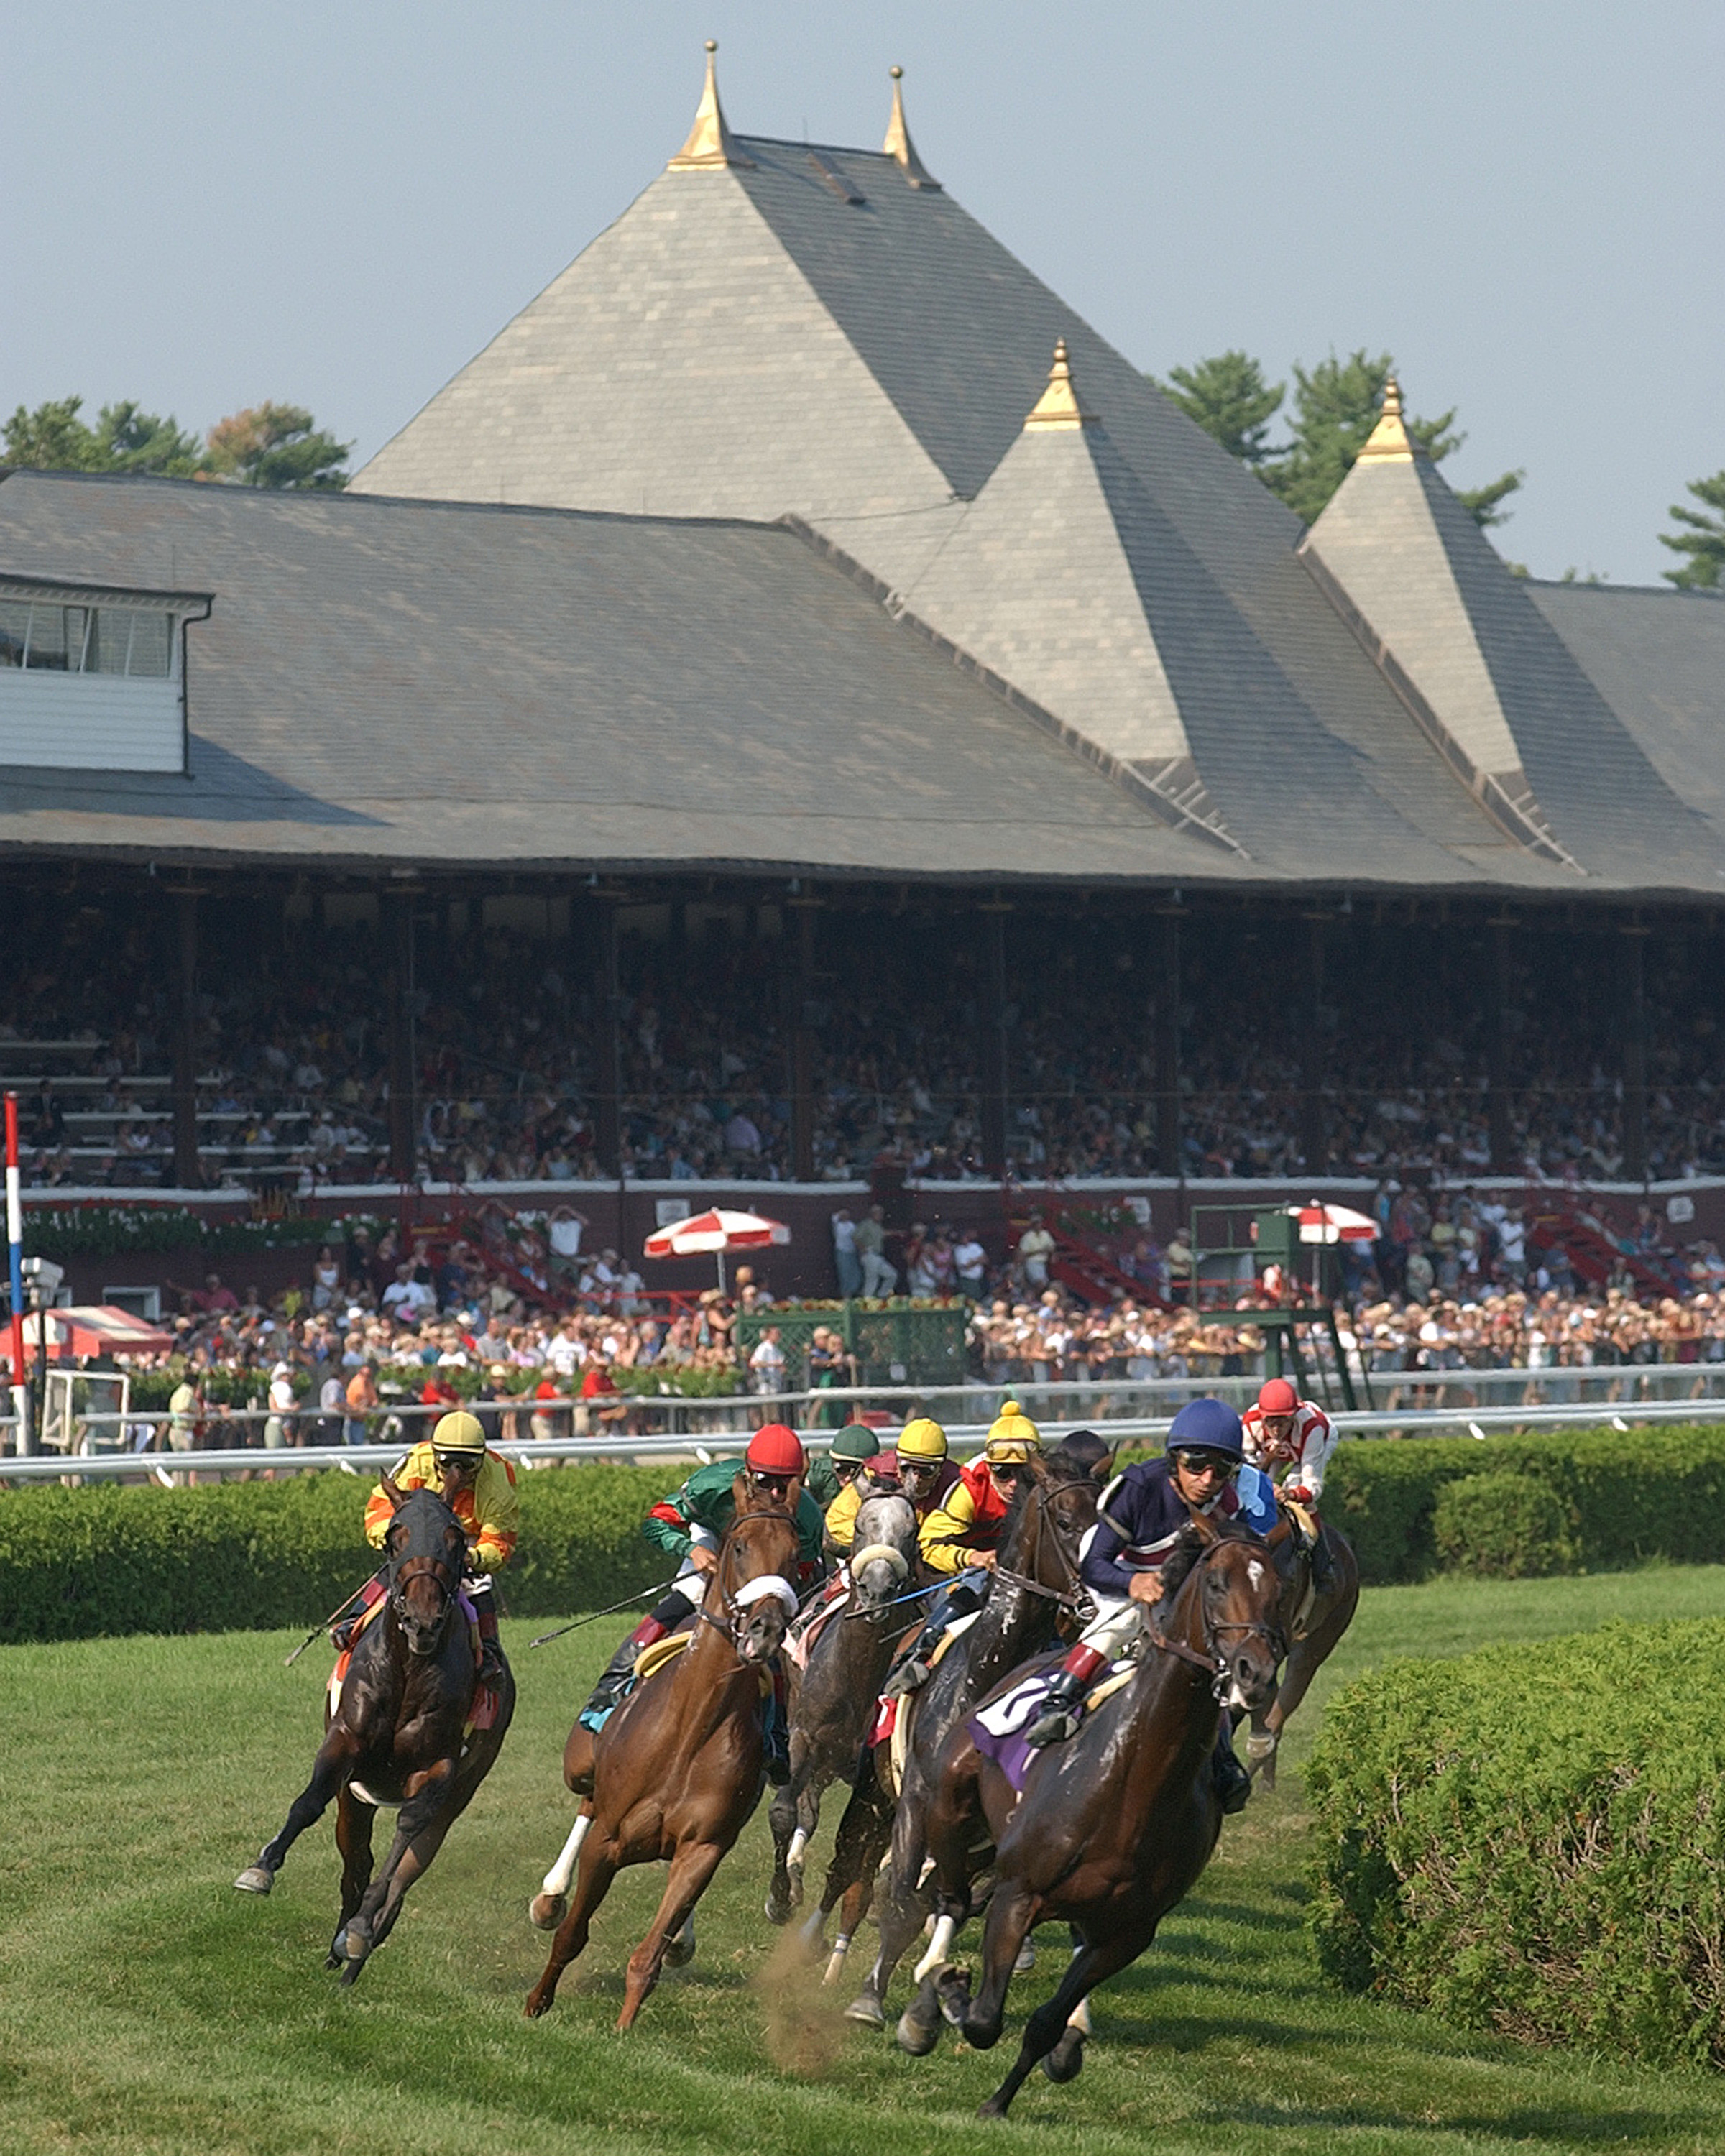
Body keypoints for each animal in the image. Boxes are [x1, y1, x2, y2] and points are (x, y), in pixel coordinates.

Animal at [233, 1483, 513, 1984]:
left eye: (455, 1540)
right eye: (395, 1538)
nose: (423, 1621)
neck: (408, 1668)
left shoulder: (437, 1770)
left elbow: (404, 1838)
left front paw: (361, 1930)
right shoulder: (344, 1742)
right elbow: (310, 1801)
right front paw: (261, 1868)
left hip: (458, 1796)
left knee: (402, 1876)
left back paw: (355, 1954)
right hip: (357, 1799)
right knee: (355, 1865)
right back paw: (338, 1951)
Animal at [526, 1483, 802, 2035]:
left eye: (794, 1554)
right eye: (739, 1547)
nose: (765, 1629)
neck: (691, 1729)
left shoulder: (704, 1847)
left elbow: (649, 1954)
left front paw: (623, 2030)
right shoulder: (608, 1841)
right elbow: (572, 1933)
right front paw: (537, 2002)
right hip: (581, 1765)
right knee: (586, 1801)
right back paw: (549, 1897)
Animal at [768, 1492, 923, 1932]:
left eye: (911, 1530)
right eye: (859, 1525)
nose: (877, 1589)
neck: (858, 1676)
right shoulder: (805, 1736)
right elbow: (784, 1812)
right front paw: (779, 1898)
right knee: (807, 1808)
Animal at [811, 1440, 1104, 2027]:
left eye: (1105, 1521)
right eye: (1065, 1522)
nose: (1101, 1599)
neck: (986, 1677)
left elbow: (949, 1900)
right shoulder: (916, 1799)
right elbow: (901, 1896)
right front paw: (869, 1999)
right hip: (876, 1795)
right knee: (849, 1872)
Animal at [910, 1509, 1285, 2113]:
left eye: (1279, 1590)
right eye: (1216, 1582)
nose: (1256, 1673)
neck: (1137, 1779)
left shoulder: (1127, 1931)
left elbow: (1043, 2023)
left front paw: (1006, 2097)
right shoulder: (1020, 1894)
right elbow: (985, 2019)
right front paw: (945, 1996)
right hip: (948, 1805)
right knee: (951, 1896)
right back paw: (927, 1990)